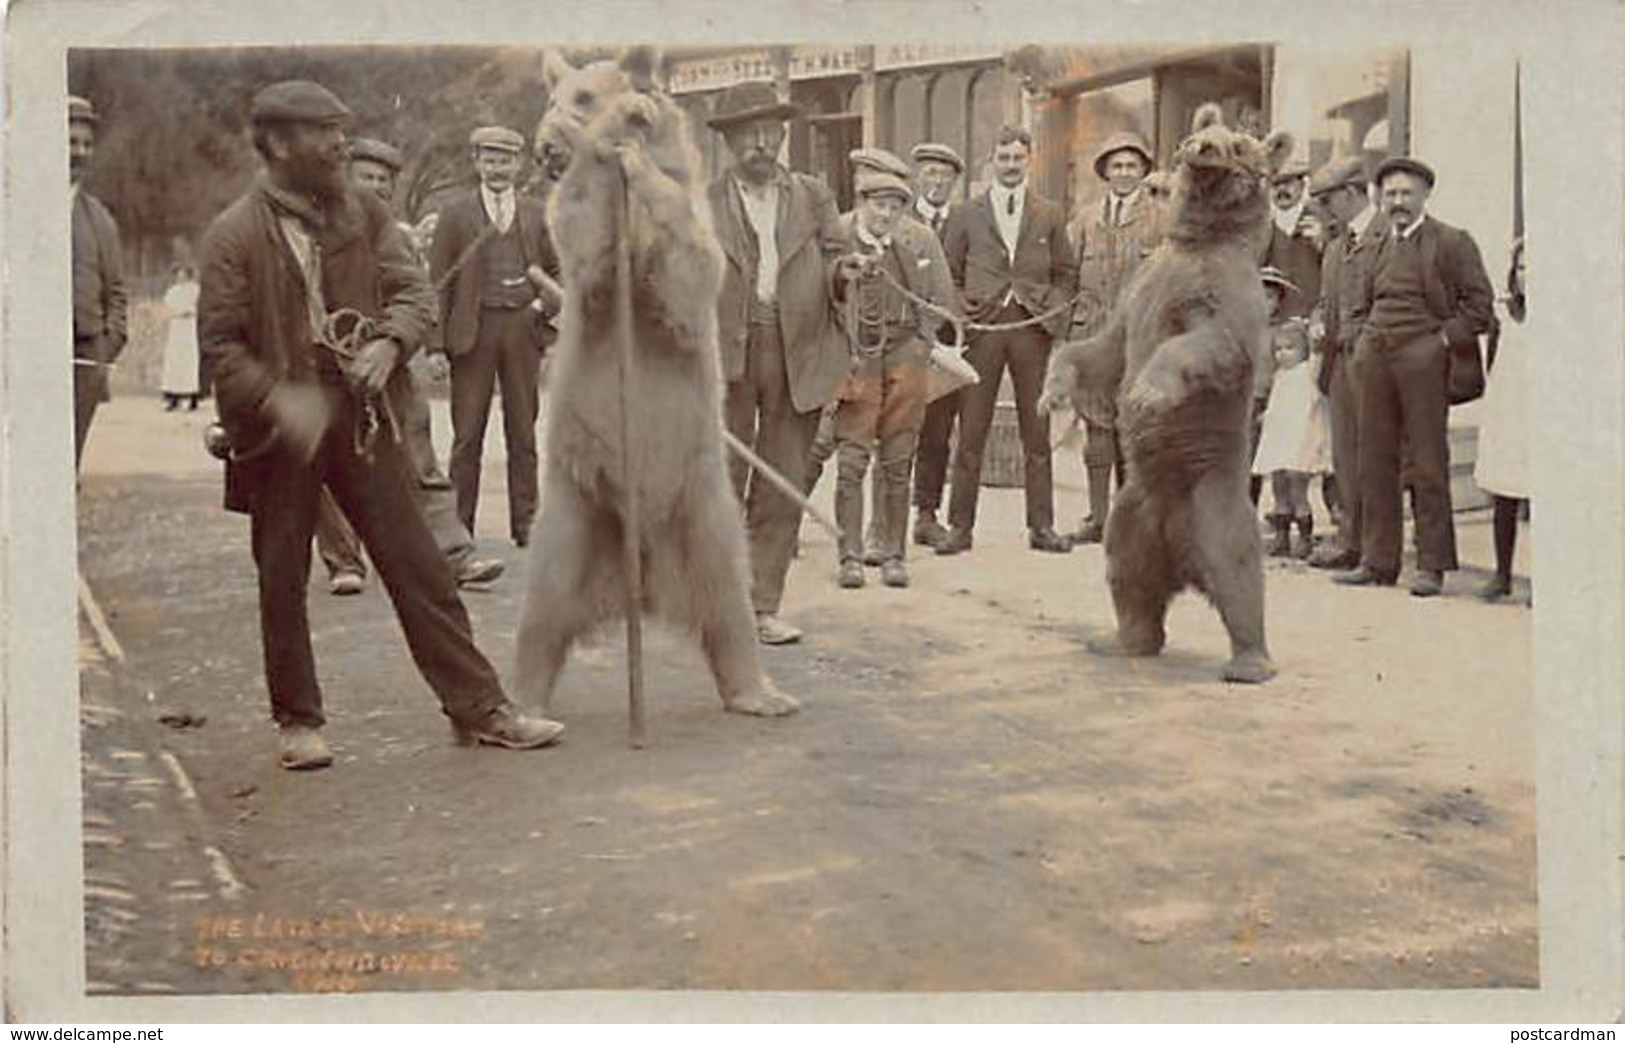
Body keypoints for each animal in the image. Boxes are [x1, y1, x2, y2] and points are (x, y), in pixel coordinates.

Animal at [513, 46, 799, 714]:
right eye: (553, 97)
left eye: (583, 95)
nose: (544, 147)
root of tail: (638, 583)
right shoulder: (587, 272)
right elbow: (579, 235)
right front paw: (601, 160)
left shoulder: (691, 235)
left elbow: (688, 262)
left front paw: (635, 132)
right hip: (573, 511)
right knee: (542, 610)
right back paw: (527, 706)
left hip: (705, 510)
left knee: (730, 602)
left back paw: (761, 693)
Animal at [1040, 101, 1293, 679]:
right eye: (1204, 130)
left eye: (1239, 145)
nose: (1202, 147)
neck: (1197, 240)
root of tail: (1181, 560)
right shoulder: (1142, 291)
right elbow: (1100, 351)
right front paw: (1054, 393)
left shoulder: (1223, 296)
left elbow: (1208, 346)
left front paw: (1145, 395)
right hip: (1133, 511)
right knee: (1127, 574)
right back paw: (1124, 639)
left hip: (1213, 498)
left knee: (1238, 571)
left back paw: (1251, 662)